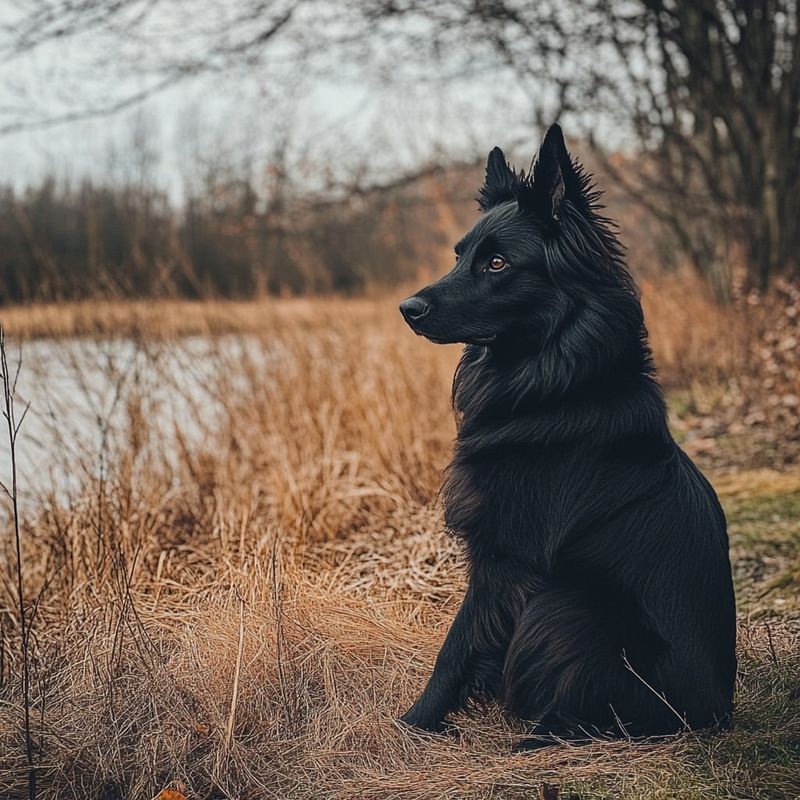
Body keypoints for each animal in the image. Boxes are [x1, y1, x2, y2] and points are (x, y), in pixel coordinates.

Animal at [398, 123, 736, 744]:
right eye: (461, 256)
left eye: (498, 263)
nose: (406, 308)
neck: (557, 386)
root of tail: (713, 715)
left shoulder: (506, 557)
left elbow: (457, 644)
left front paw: (415, 724)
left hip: (569, 605)